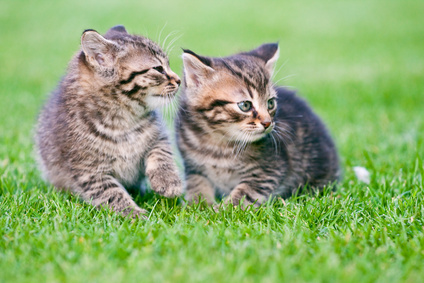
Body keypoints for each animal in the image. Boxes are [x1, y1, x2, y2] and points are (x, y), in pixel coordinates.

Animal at [35, 26, 182, 217]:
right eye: (158, 68)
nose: (179, 80)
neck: (123, 120)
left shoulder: (159, 136)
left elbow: (162, 152)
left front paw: (168, 181)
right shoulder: (88, 171)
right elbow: (111, 193)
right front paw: (134, 214)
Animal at [176, 43, 342, 207]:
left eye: (270, 103)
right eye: (245, 105)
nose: (267, 122)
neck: (218, 144)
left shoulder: (269, 170)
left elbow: (244, 193)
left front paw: (222, 210)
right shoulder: (193, 167)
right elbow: (196, 185)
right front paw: (198, 206)